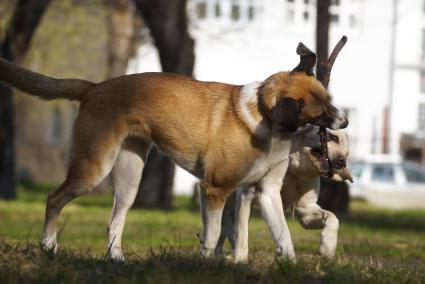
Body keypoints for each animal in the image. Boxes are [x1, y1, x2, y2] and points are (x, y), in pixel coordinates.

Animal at [0, 45, 346, 262]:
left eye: (331, 101)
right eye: (321, 112)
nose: (345, 121)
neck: (264, 117)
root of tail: (93, 87)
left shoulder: (267, 192)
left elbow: (283, 236)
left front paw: (294, 265)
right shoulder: (215, 190)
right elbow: (214, 234)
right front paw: (206, 264)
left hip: (129, 179)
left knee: (113, 221)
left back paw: (117, 260)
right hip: (93, 168)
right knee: (54, 198)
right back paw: (48, 246)